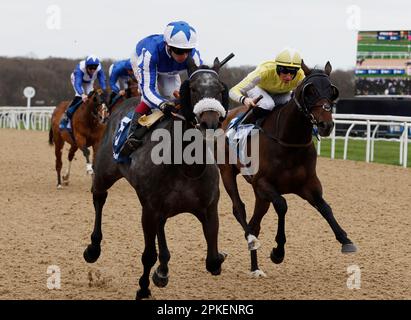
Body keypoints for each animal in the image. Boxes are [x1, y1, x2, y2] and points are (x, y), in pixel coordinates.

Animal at [83, 54, 232, 298]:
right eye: (192, 88)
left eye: (219, 89)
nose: (208, 123)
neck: (187, 167)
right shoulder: (149, 210)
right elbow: (148, 255)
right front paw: (143, 288)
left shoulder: (209, 208)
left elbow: (212, 262)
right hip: (106, 173)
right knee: (99, 197)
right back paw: (93, 248)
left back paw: (163, 270)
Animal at [219, 61, 358, 276]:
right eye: (310, 91)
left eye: (332, 90)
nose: (326, 125)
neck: (289, 141)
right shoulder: (263, 183)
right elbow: (283, 205)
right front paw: (278, 251)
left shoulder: (308, 185)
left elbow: (325, 208)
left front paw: (345, 239)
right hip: (228, 173)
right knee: (239, 209)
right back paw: (251, 241)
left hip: (260, 196)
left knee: (255, 223)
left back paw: (255, 267)